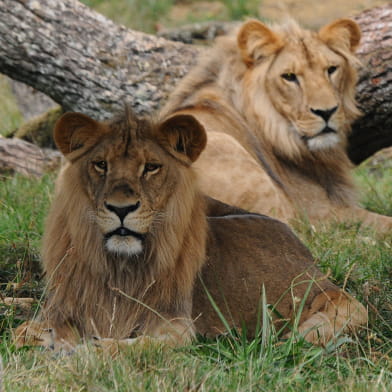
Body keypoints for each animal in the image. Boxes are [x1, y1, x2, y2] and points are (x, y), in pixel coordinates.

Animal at [13, 108, 366, 350]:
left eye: (151, 167)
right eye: (101, 165)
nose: (121, 209)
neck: (119, 266)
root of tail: (318, 274)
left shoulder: (176, 325)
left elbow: (130, 347)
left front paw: (88, 350)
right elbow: (24, 334)